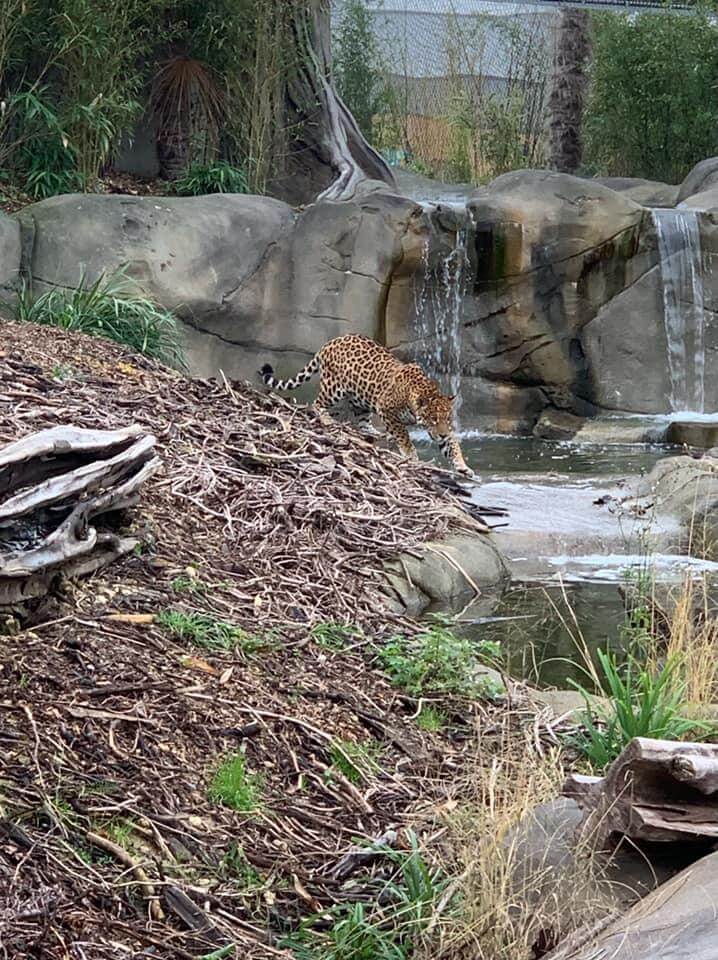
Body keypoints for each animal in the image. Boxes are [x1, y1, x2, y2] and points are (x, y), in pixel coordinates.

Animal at [259, 334, 473, 477]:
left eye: (447, 419)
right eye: (432, 419)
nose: (442, 434)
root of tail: (330, 342)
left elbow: (453, 445)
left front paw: (463, 466)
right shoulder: (387, 410)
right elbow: (403, 435)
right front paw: (410, 454)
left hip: (360, 400)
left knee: (362, 422)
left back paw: (378, 434)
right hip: (333, 388)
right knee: (317, 404)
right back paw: (327, 419)